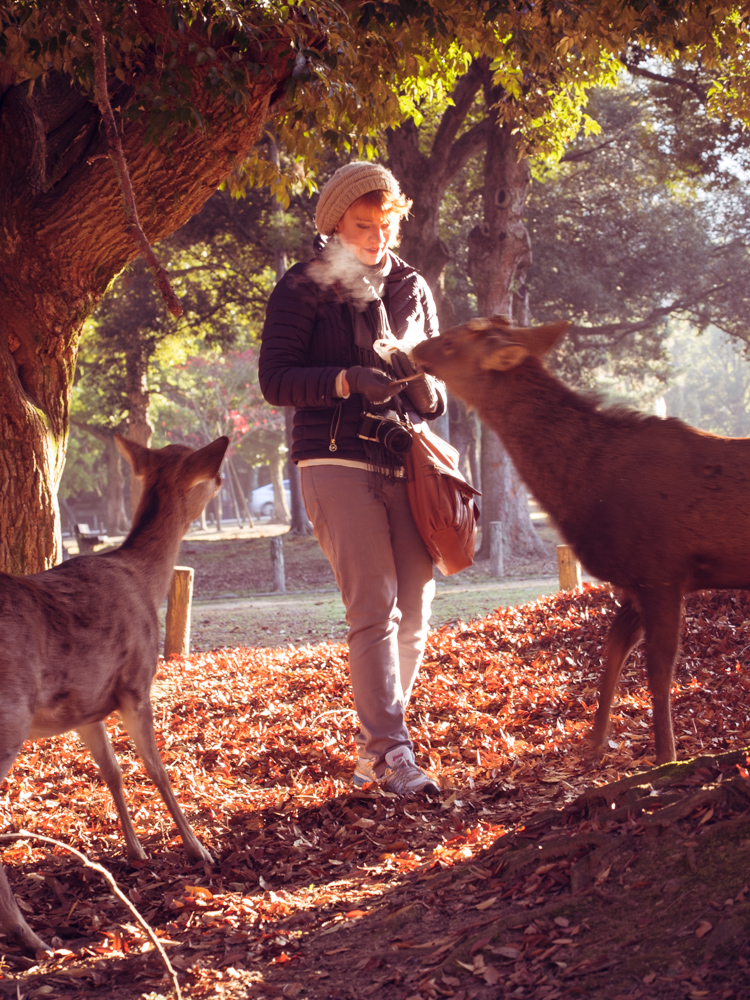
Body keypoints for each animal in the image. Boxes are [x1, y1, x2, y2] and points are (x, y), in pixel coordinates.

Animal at [0, 434, 229, 953]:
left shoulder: (86, 709)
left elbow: (114, 773)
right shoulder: (136, 682)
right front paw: (199, 849)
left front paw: (136, 849)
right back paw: (32, 937)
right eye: (212, 474)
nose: (224, 479)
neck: (145, 580)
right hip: (9, 717)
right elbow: (157, 770)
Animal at [412, 318, 750, 767]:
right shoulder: (634, 580)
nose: (414, 348)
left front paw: (666, 757)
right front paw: (595, 743)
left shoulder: (662, 573)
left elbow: (659, 672)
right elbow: (613, 651)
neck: (586, 489)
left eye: (451, 341)